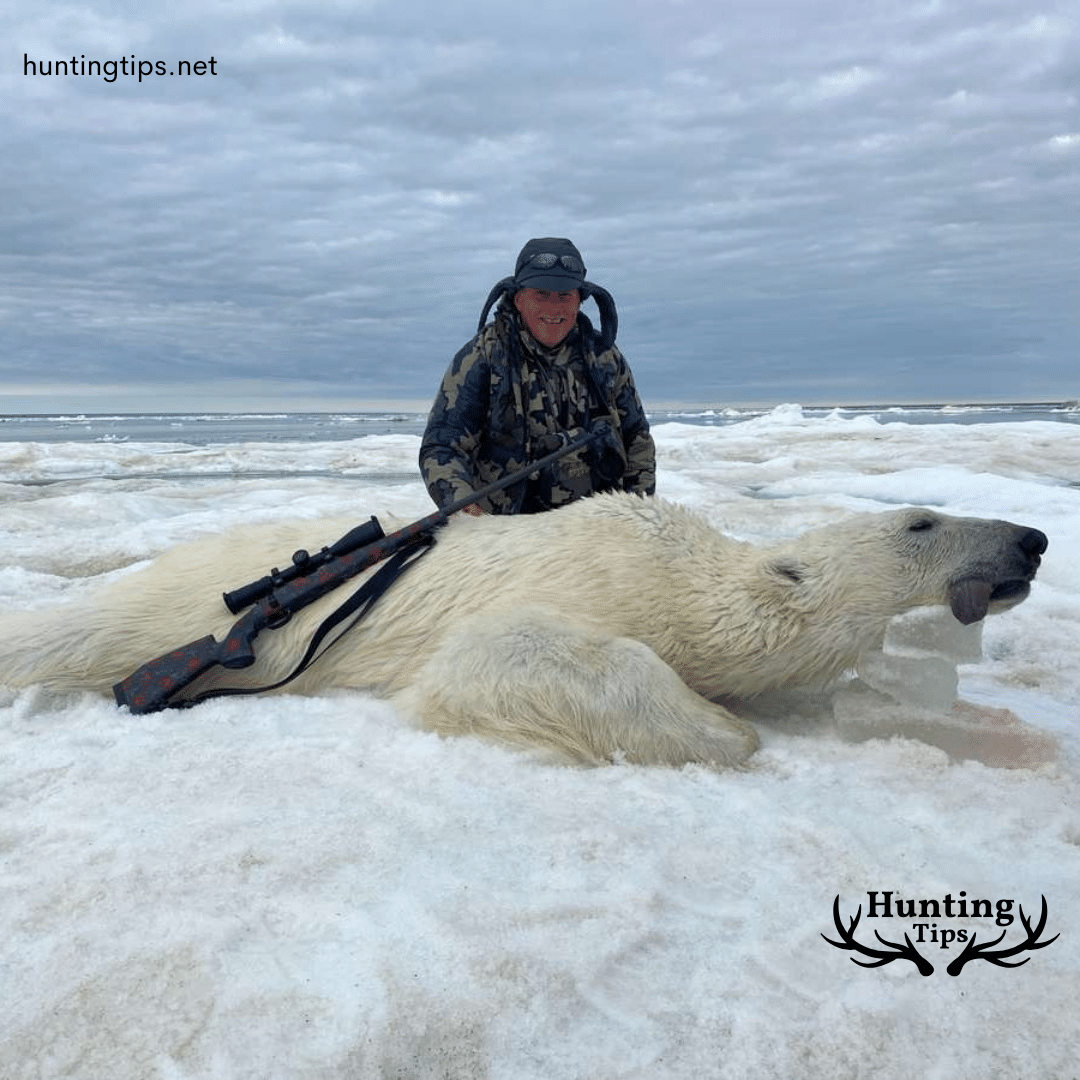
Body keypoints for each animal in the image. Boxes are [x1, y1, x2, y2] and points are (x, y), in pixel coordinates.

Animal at [0, 494, 1045, 768]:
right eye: (921, 522)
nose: (1031, 539)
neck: (678, 575)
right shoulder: (587, 578)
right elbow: (493, 657)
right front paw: (723, 730)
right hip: (177, 601)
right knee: (79, 629)